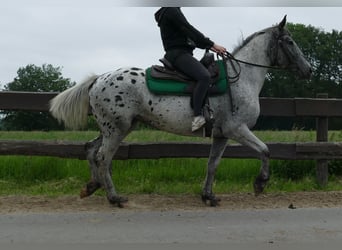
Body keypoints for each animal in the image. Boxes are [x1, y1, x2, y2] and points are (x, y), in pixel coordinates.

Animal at [49, 15, 312, 207]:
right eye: (290, 42)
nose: (308, 69)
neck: (241, 79)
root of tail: (97, 79)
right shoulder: (237, 129)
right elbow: (265, 150)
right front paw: (260, 184)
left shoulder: (221, 134)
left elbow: (213, 164)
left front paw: (208, 196)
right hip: (116, 129)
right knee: (103, 157)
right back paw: (114, 197)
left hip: (116, 127)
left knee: (90, 149)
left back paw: (91, 187)